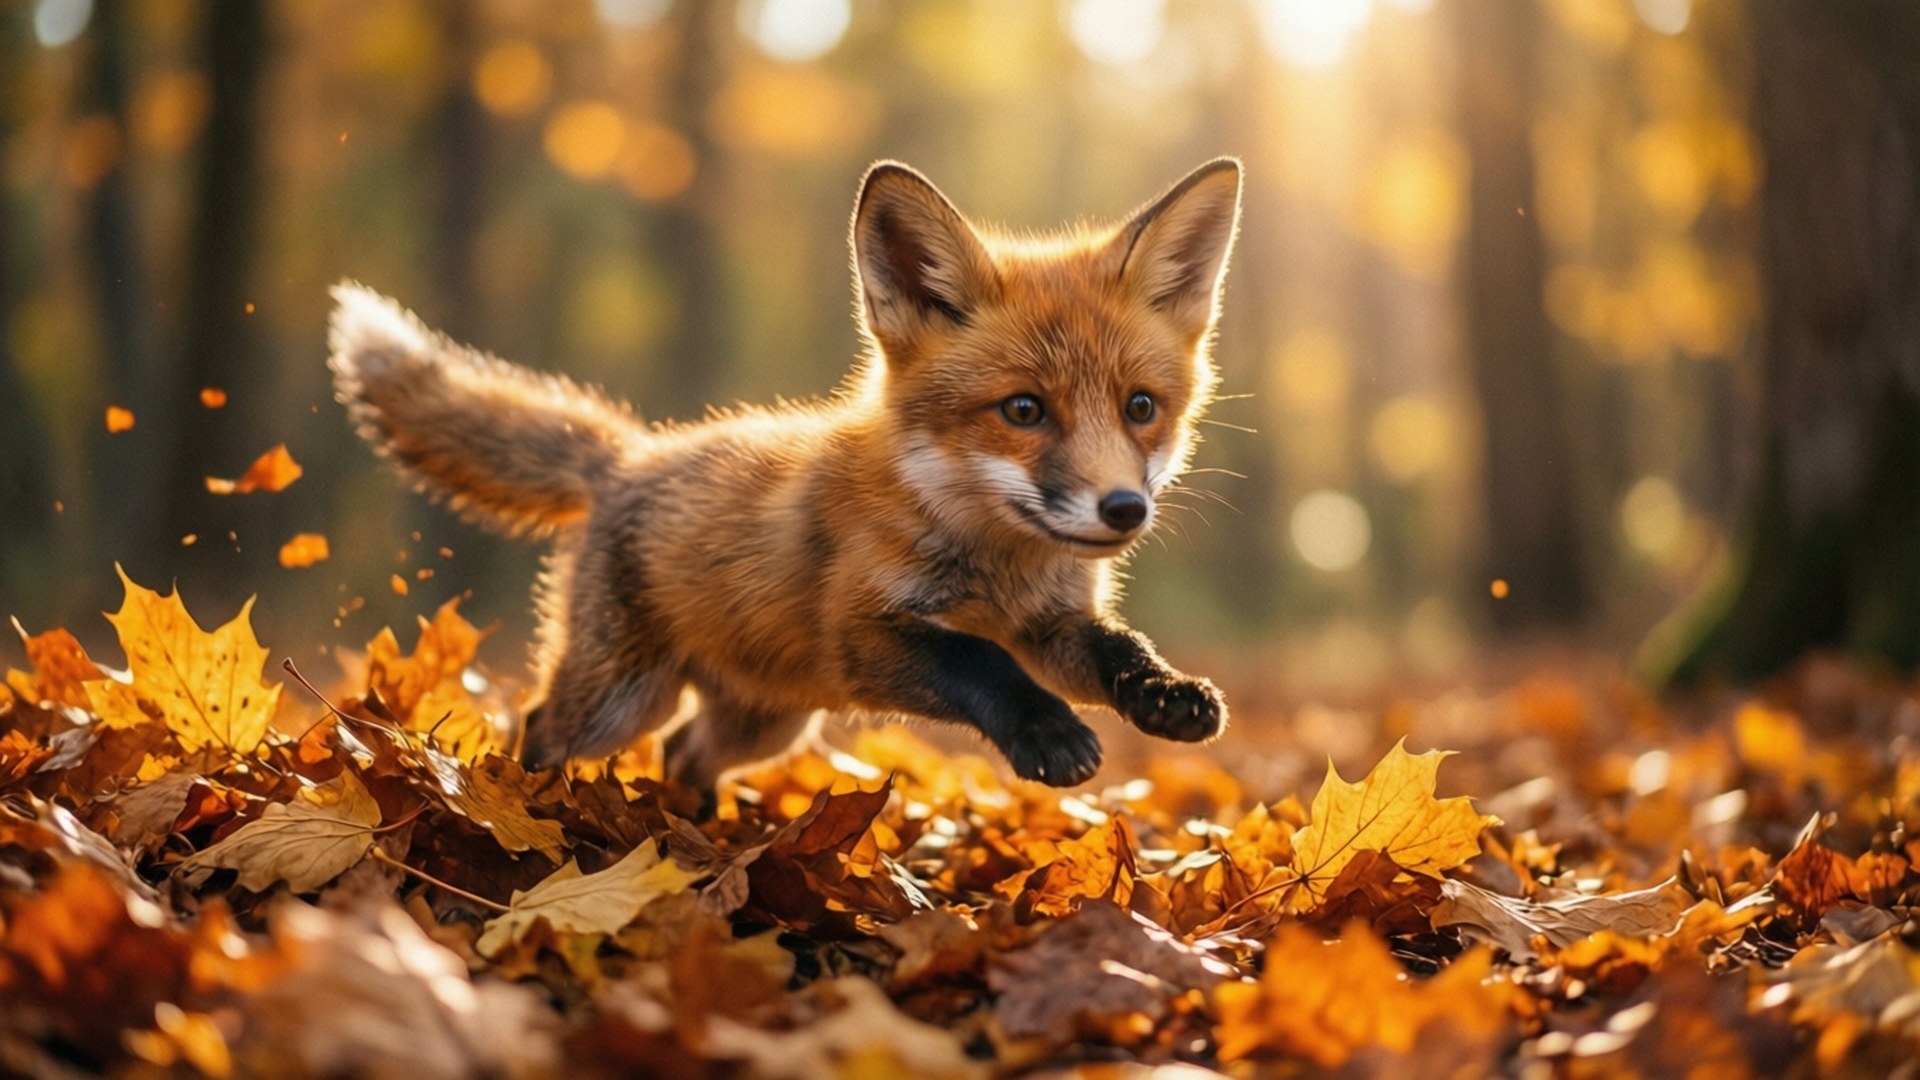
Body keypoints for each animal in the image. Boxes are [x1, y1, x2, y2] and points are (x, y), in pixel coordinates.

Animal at [328, 157, 1242, 789]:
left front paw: (1165, 692)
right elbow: (980, 664)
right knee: (541, 722)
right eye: (1023, 410)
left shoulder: (1049, 627)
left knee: (683, 753)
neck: (992, 557)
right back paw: (527, 811)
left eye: (1139, 407)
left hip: (765, 722)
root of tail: (629, 455)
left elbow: (1115, 646)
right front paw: (1048, 733)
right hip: (623, 700)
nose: (1123, 509)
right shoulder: (862, 633)